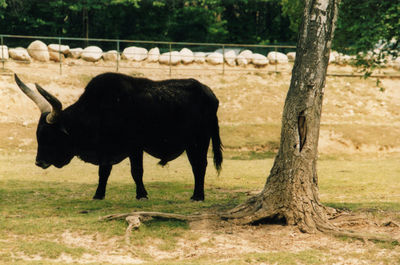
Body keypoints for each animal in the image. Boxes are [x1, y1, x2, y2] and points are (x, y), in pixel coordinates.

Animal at [14, 72, 222, 200]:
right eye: (38, 135)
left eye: (51, 136)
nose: (39, 162)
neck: (98, 111)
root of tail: (209, 92)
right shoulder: (106, 151)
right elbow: (103, 172)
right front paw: (98, 195)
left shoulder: (135, 147)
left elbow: (136, 172)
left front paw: (141, 195)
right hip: (192, 144)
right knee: (196, 166)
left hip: (200, 141)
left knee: (200, 165)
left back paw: (198, 196)